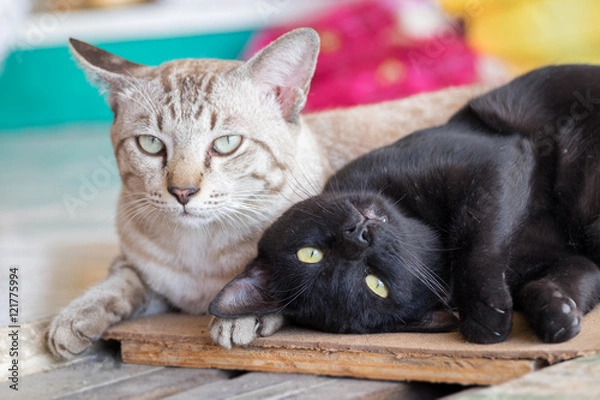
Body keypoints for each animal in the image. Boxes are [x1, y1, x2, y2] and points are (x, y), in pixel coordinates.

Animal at [45, 27, 488, 356]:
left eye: (226, 144)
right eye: (151, 145)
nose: (183, 192)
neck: (199, 251)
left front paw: (239, 317)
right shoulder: (147, 274)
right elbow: (120, 281)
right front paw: (74, 317)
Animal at [210, 65, 600, 344]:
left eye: (309, 254)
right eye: (374, 283)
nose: (357, 235)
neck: (427, 225)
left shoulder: (496, 162)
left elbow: (478, 239)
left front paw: (483, 314)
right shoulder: (566, 260)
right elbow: (573, 277)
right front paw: (555, 313)